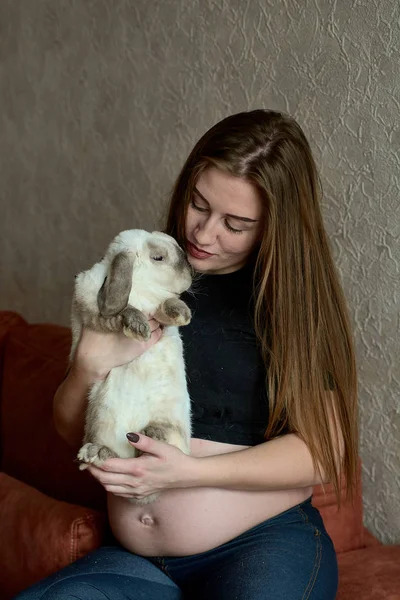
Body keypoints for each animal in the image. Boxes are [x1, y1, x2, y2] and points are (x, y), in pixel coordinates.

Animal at [70, 229, 194, 502]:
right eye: (158, 257)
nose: (190, 273)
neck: (141, 283)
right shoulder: (92, 309)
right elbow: (122, 310)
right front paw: (139, 328)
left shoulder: (159, 310)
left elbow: (165, 306)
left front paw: (182, 313)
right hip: (99, 421)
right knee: (115, 456)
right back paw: (95, 453)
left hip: (170, 430)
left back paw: (147, 436)